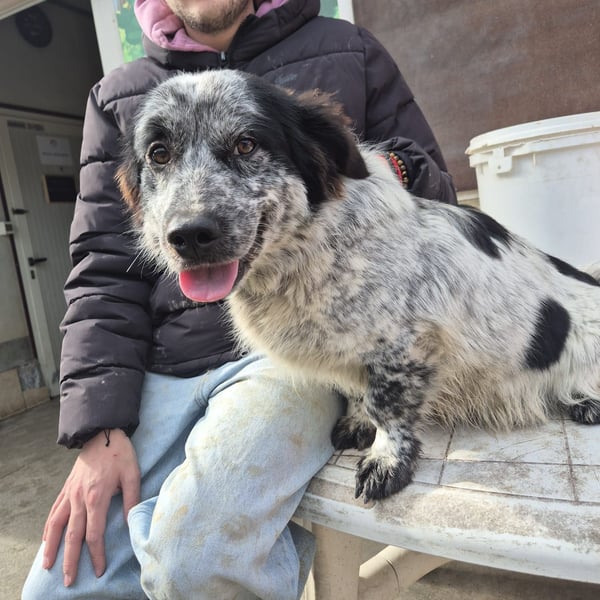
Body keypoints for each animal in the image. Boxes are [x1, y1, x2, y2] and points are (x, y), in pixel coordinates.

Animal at [117, 70, 600, 502]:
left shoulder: (404, 347)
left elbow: (389, 409)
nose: (189, 235)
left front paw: (386, 460)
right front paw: (358, 420)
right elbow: (356, 392)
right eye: (159, 154)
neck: (312, 250)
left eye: (246, 143)